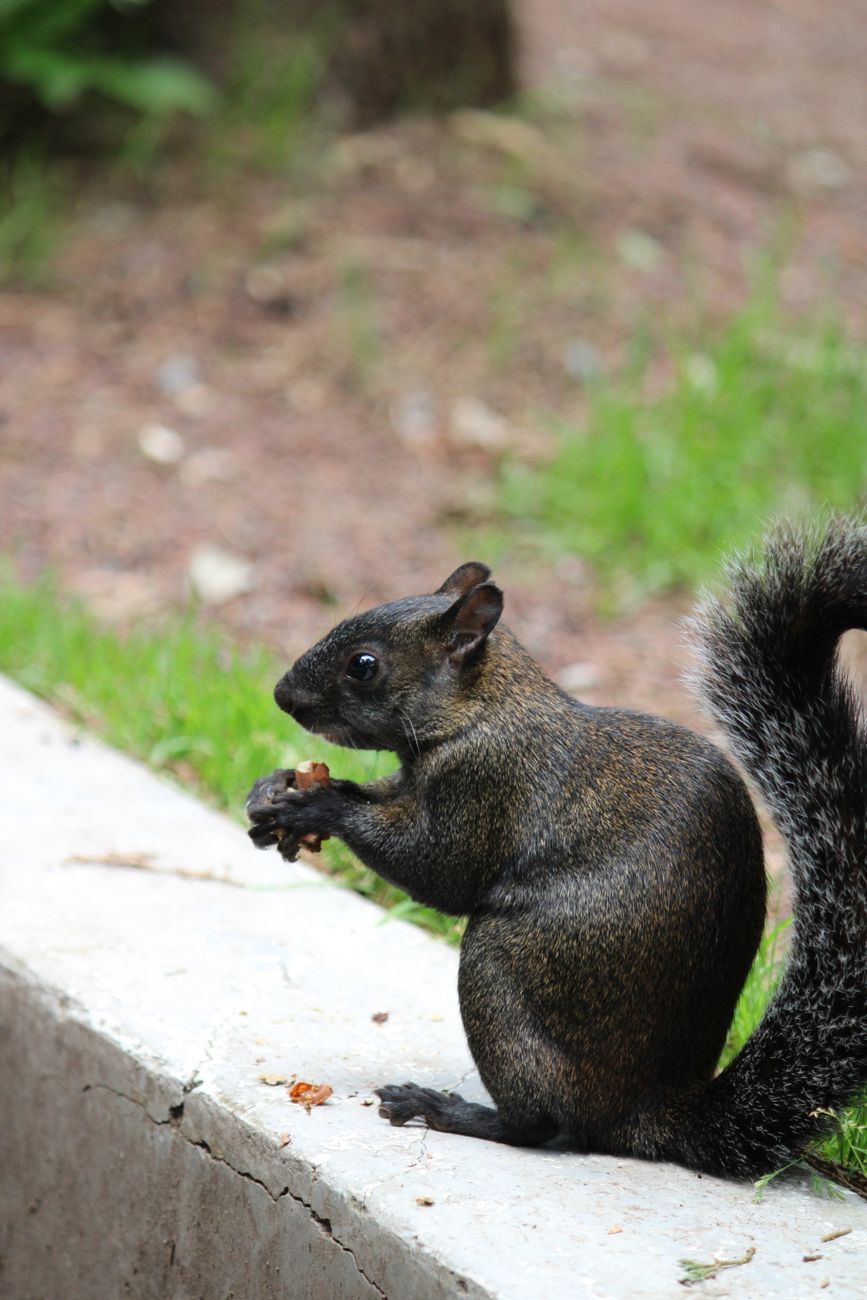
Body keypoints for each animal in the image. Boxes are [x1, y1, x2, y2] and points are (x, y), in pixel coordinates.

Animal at [247, 517, 867, 1178]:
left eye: (363, 665)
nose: (283, 695)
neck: (486, 708)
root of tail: (649, 1113)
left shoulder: (487, 783)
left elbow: (439, 871)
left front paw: (316, 808)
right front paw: (277, 791)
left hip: (501, 969)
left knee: (541, 1125)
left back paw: (448, 1110)